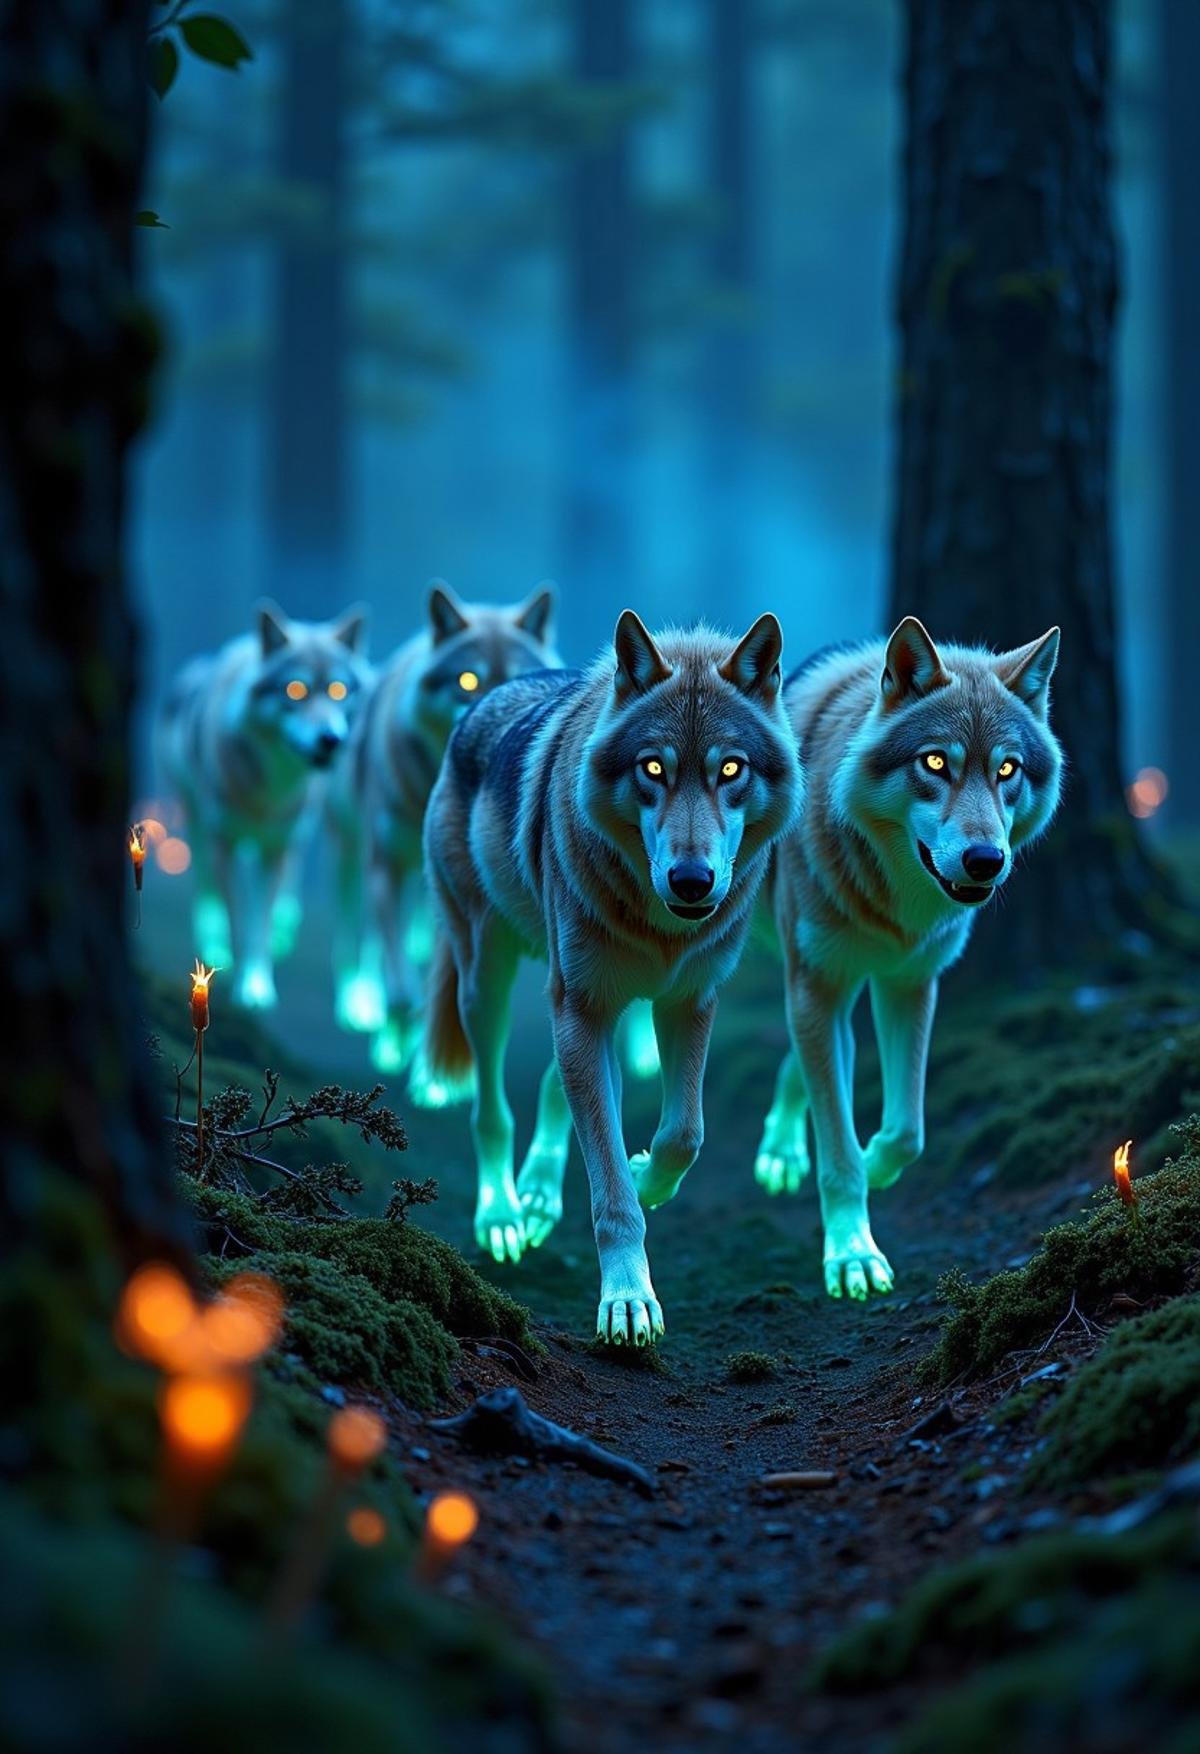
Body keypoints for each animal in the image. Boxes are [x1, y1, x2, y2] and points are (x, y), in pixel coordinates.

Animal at [158, 601, 370, 1009]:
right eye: (295, 689)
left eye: (337, 689)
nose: (330, 739)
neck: (271, 788)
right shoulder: (223, 841)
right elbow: (236, 916)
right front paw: (230, 971)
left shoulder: (276, 845)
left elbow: (261, 922)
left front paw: (256, 987)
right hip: (198, 826)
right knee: (207, 888)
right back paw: (213, 941)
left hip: (297, 832)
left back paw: (285, 929)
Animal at [328, 581, 560, 1079]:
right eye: (467, 681)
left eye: (522, 674)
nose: (496, 721)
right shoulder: (384, 868)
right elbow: (399, 983)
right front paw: (395, 1042)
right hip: (353, 859)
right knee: (361, 935)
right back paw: (361, 1004)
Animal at [422, 611, 804, 1344]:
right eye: (653, 767)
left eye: (731, 770)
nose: (691, 880)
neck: (662, 928)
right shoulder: (584, 1006)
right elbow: (610, 1193)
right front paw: (628, 1299)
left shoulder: (688, 1001)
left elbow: (683, 1135)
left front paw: (647, 1175)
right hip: (490, 982)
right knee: (491, 1108)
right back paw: (505, 1213)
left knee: (563, 1085)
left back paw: (542, 1189)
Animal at [754, 616, 1062, 1301]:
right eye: (936, 762)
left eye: (1007, 769)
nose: (985, 861)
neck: (893, 903)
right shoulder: (819, 985)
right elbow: (839, 1154)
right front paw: (852, 1255)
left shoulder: (908, 983)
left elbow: (907, 1133)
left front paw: (873, 1162)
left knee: (808, 1063)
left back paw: (783, 1150)